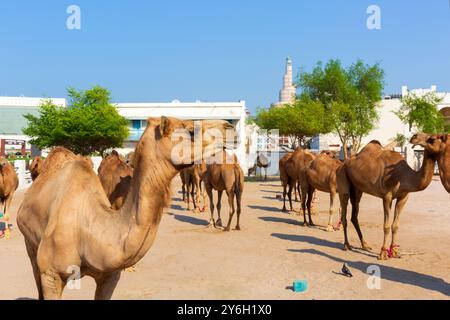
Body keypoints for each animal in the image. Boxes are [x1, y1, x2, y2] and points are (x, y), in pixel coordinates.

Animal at [15, 117, 234, 300]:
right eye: (190, 130)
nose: (229, 127)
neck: (89, 231)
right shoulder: (51, 273)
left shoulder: (110, 276)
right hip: (30, 245)